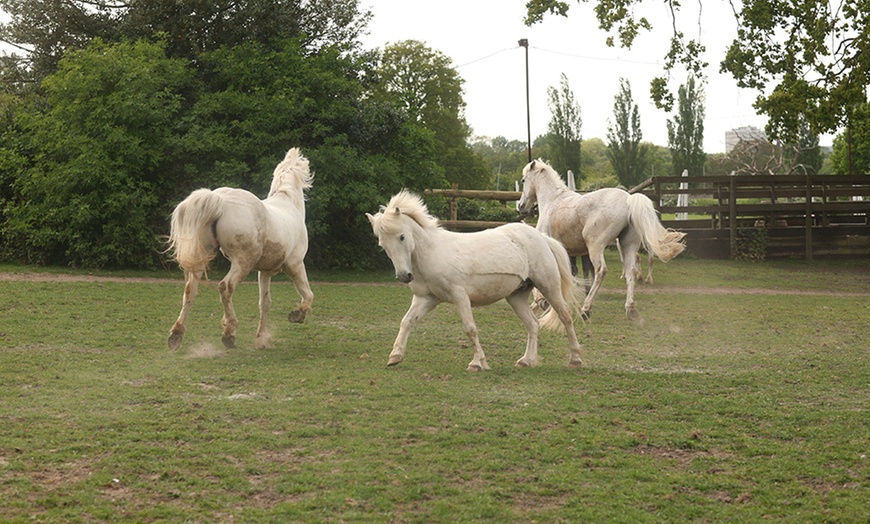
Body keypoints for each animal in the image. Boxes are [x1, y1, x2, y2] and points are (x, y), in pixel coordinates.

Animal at [166, 147, 314, 352]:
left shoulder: (264, 272)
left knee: (190, 290)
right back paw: (229, 332)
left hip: (203, 257)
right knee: (225, 287)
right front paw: (297, 315)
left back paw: (176, 334)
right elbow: (307, 295)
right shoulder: (295, 265)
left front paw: (261, 338)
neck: (288, 203)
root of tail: (220, 199)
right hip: (243, 262)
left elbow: (265, 303)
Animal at [368, 190, 584, 370]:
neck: (432, 253)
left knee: (565, 315)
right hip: (516, 296)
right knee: (532, 324)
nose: (404, 276)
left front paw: (477, 363)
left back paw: (575, 359)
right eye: (381, 244)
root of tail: (540, 237)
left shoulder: (460, 297)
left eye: (402, 237)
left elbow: (470, 328)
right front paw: (395, 356)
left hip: (549, 287)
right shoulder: (426, 299)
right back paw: (526, 361)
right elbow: (406, 322)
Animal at [516, 160, 688, 322]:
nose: (521, 206)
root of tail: (628, 199)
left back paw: (586, 310)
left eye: (523, 180)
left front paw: (539, 302)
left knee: (601, 271)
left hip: (596, 246)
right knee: (630, 272)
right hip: (628, 245)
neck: (553, 201)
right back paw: (630, 309)